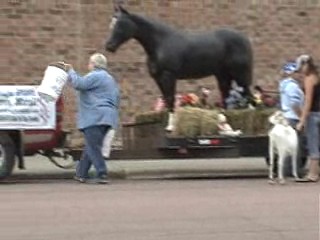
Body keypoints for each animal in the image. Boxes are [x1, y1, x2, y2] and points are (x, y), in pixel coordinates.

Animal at [106, 7, 254, 130]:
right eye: (112, 23)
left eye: (121, 24)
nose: (109, 46)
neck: (161, 43)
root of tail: (244, 38)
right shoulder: (158, 78)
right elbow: (166, 100)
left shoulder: (169, 76)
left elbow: (170, 99)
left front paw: (171, 126)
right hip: (223, 76)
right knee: (227, 95)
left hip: (240, 74)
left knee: (248, 96)